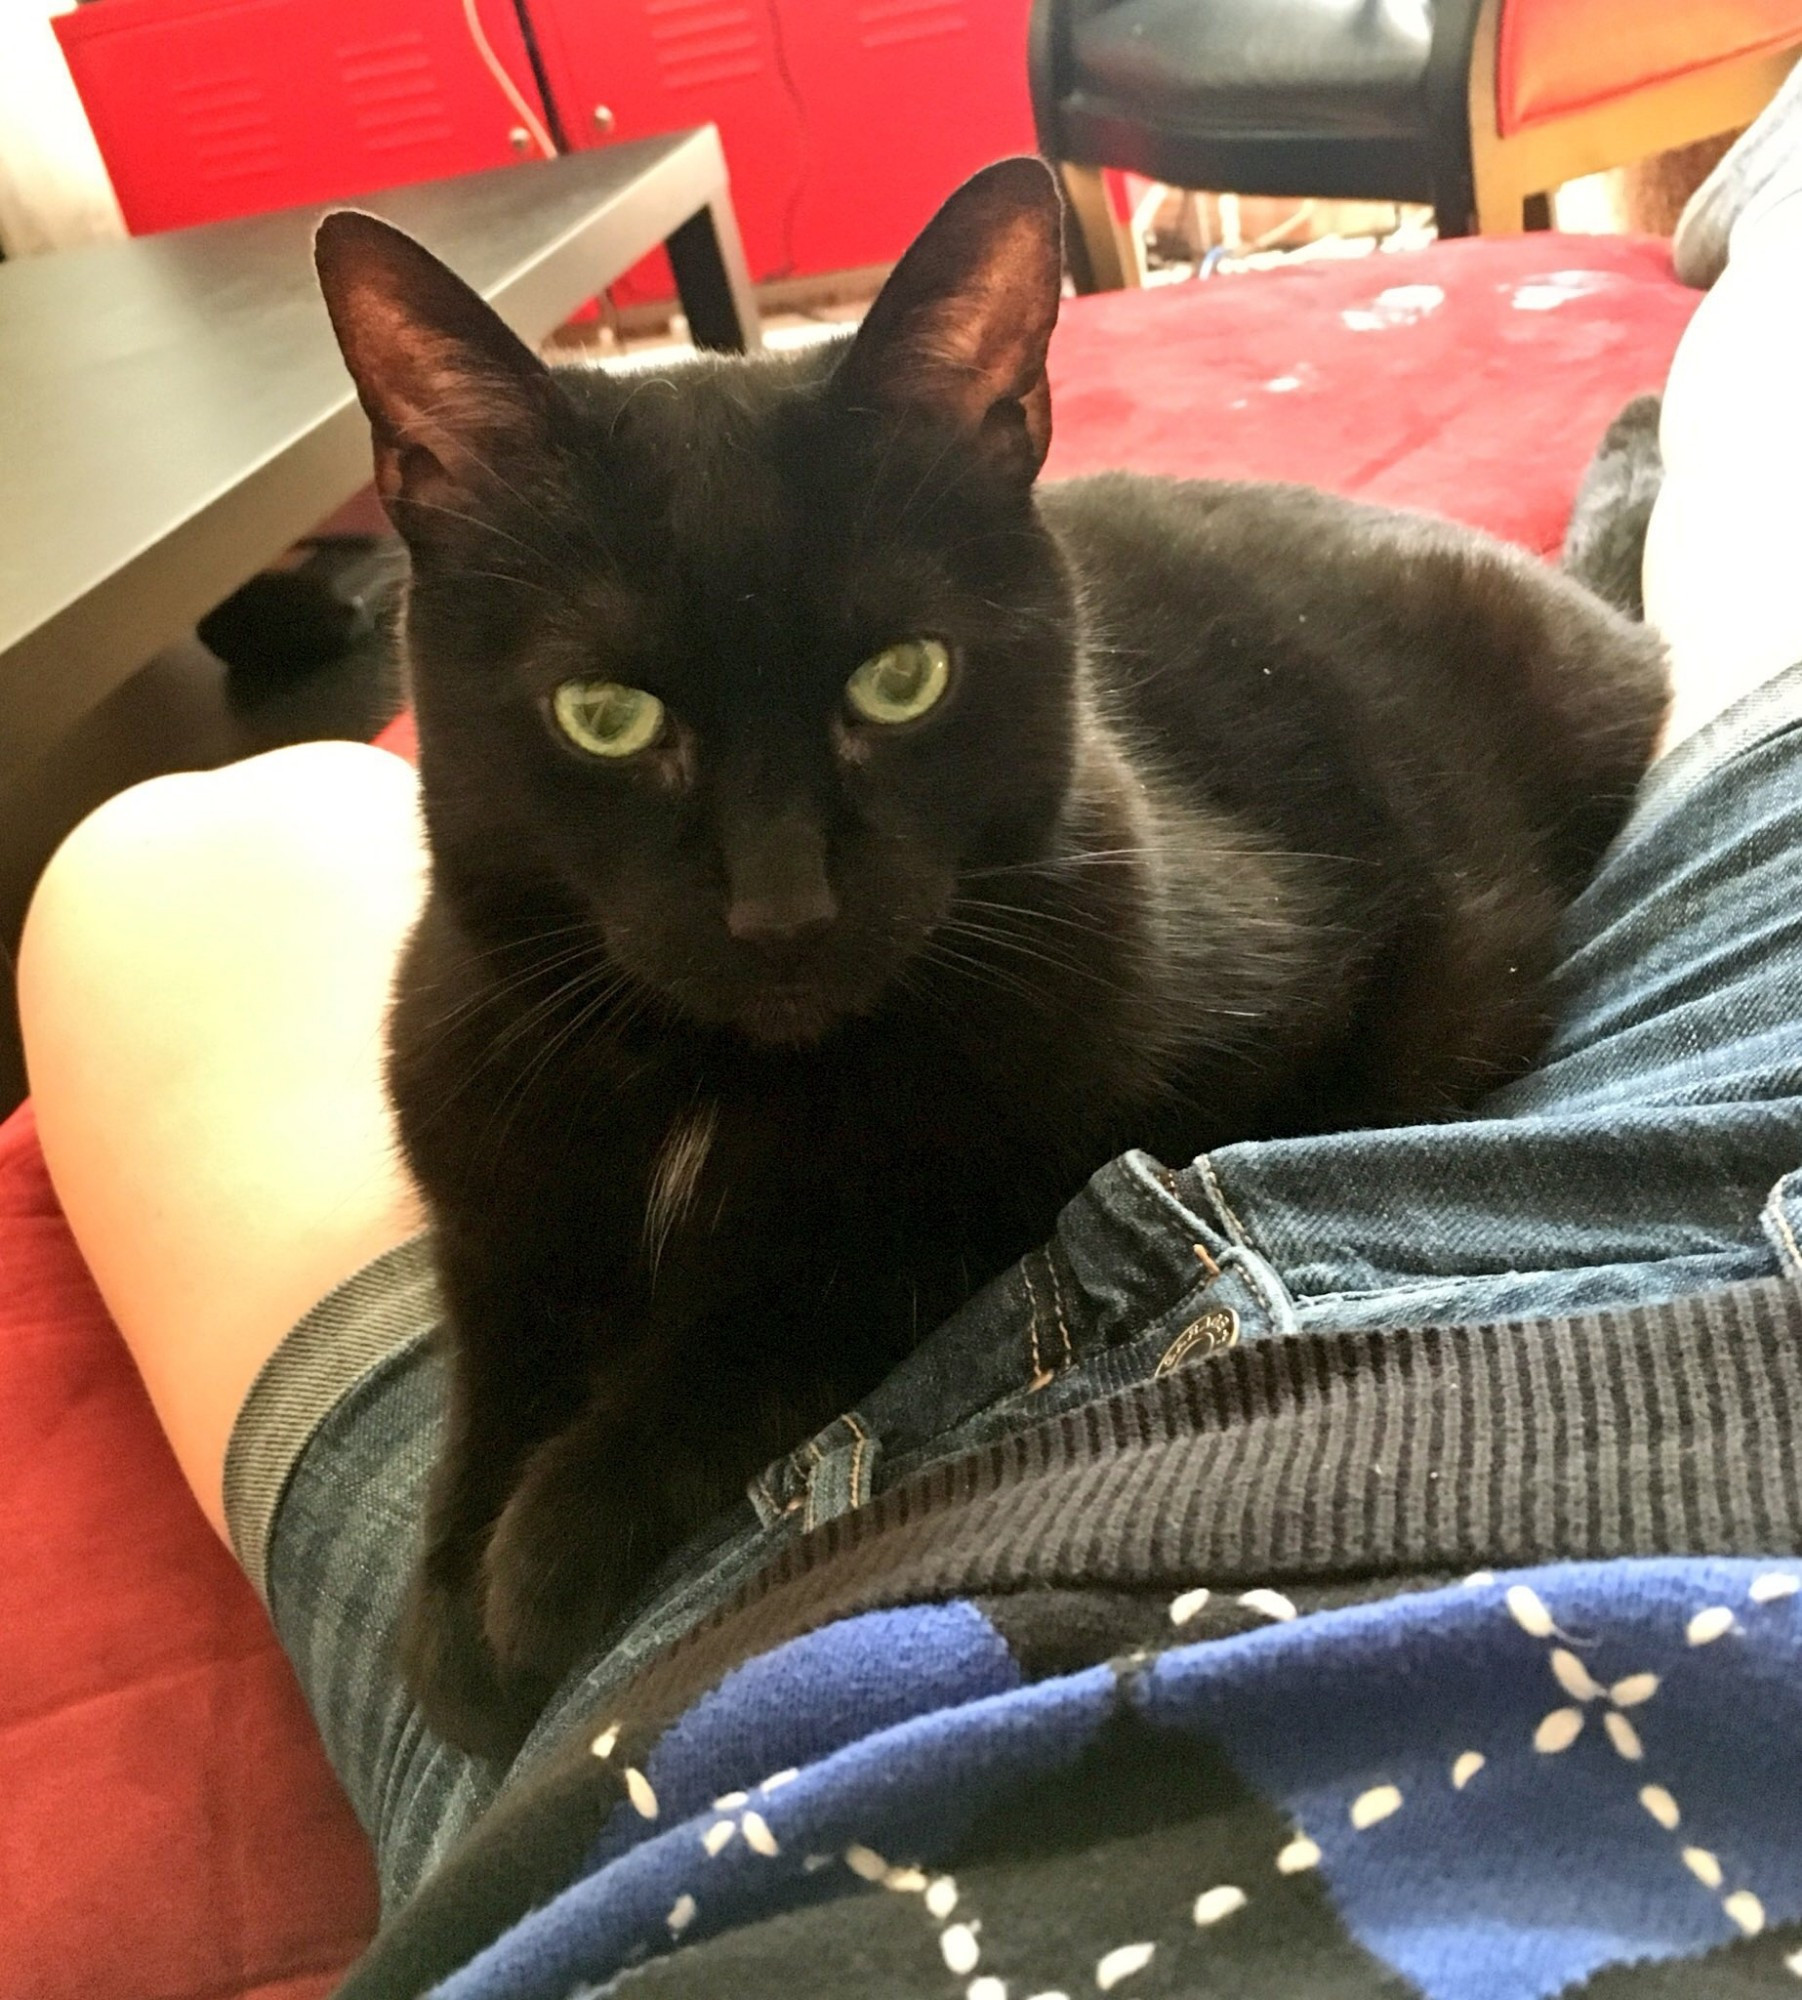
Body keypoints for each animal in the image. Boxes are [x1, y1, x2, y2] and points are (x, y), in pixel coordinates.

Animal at [316, 156, 1664, 1760]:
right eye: (604, 715)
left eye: (902, 679)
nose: (781, 904)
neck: (702, 1080)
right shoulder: (491, 1196)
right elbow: (493, 1376)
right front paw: (450, 1604)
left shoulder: (1222, 1055)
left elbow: (809, 1288)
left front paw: (548, 1549)